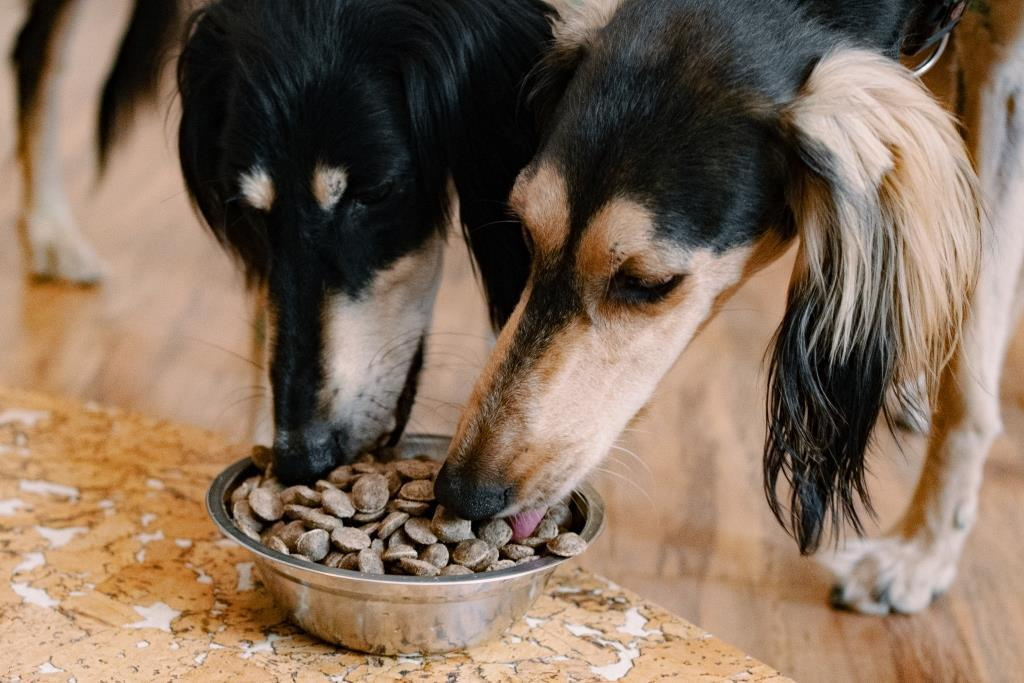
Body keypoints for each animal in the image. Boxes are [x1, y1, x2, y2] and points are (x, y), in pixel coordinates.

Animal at [434, 0, 1024, 614]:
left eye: (648, 282)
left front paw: (921, 552)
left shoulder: (1001, 74)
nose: (461, 492)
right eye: (526, 234)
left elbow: (969, 374)